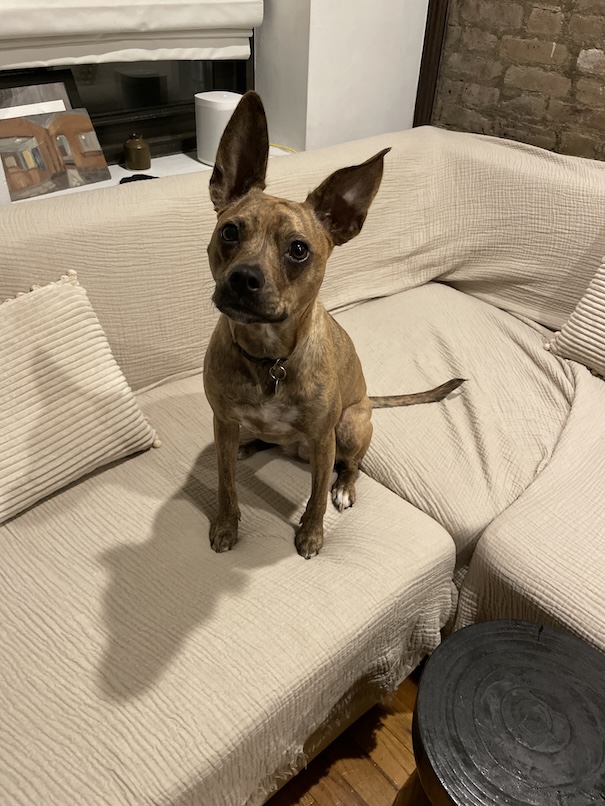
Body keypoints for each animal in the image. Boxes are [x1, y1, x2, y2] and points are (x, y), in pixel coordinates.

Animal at [203, 91, 462, 560]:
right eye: (229, 231)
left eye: (298, 250)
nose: (243, 279)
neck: (270, 359)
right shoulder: (223, 421)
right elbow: (226, 484)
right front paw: (227, 526)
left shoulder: (325, 438)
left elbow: (316, 496)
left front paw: (311, 534)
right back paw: (252, 443)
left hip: (351, 424)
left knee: (352, 466)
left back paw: (345, 487)